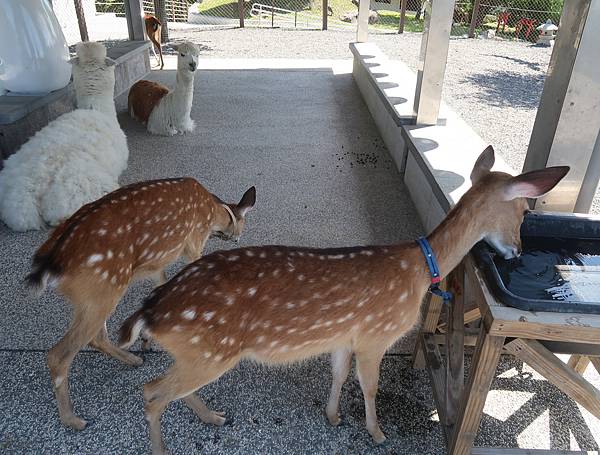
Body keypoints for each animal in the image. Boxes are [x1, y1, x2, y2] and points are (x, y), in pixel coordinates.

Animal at [26, 177, 255, 432]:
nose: (237, 236)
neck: (212, 211)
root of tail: (49, 263)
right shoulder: (194, 241)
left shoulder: (157, 265)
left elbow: (162, 285)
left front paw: (148, 337)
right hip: (105, 285)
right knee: (59, 354)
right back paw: (73, 419)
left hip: (94, 294)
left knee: (96, 337)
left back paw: (134, 359)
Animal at [120, 147, 568, 455]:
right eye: (524, 210)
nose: (517, 250)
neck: (419, 269)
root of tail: (149, 312)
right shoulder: (375, 335)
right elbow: (368, 385)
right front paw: (377, 432)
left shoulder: (342, 336)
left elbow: (338, 375)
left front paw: (333, 417)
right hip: (209, 351)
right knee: (151, 392)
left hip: (197, 354)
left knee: (167, 389)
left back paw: (214, 415)